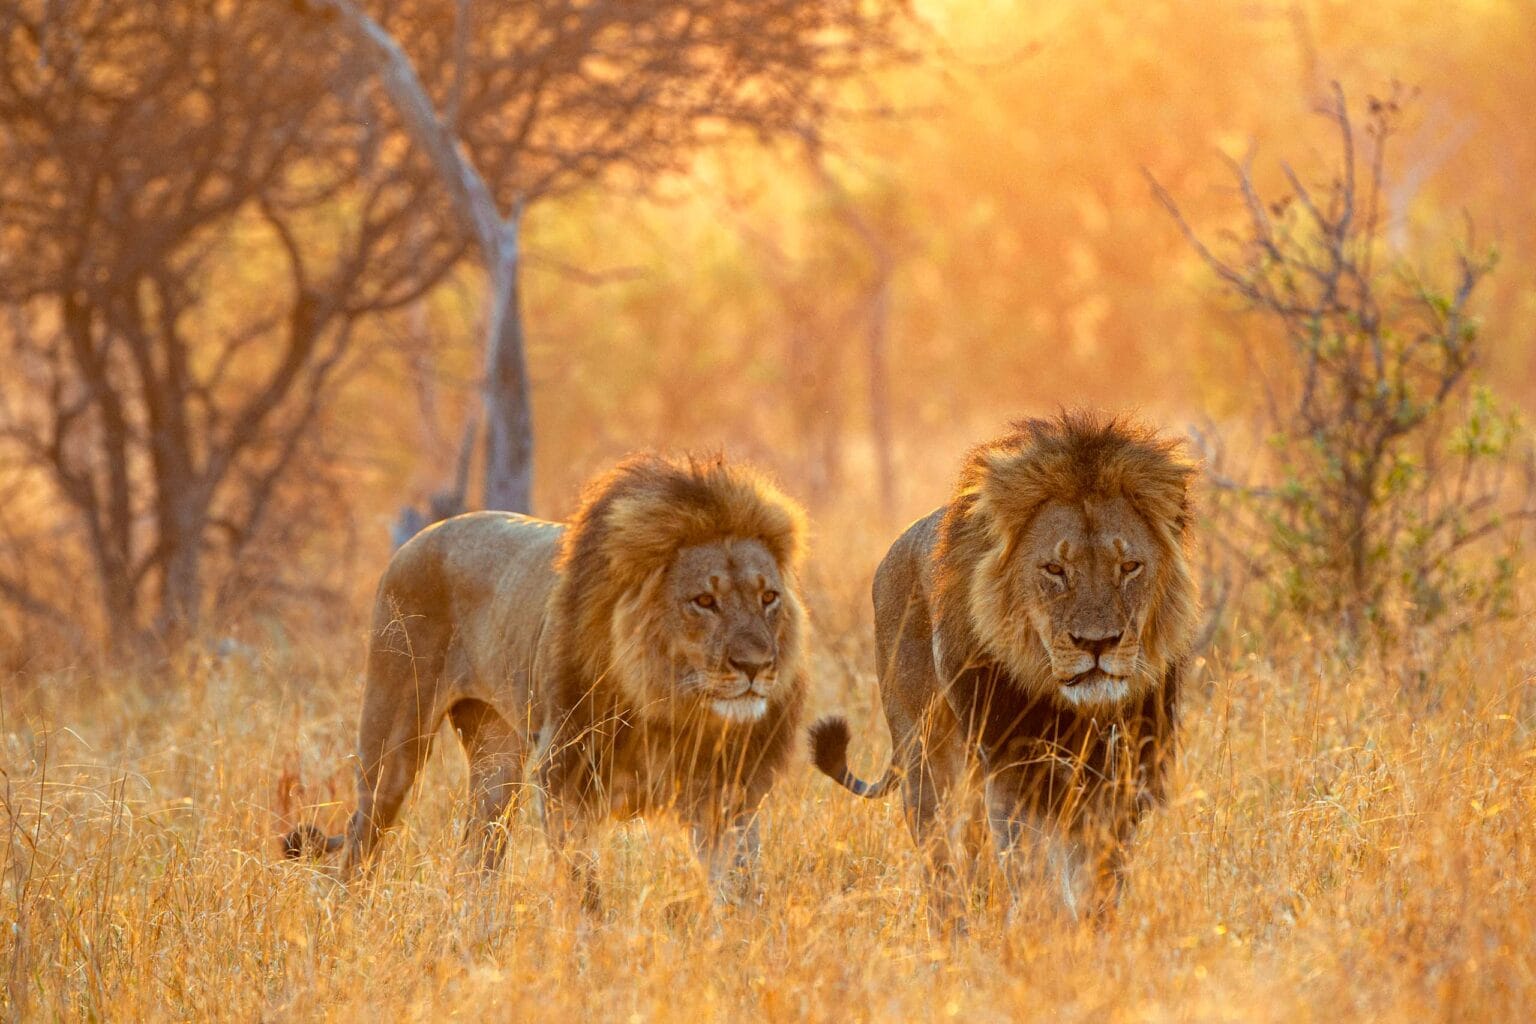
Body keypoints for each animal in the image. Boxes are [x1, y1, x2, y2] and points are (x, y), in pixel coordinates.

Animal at [284, 453, 809, 909]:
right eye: (704, 601)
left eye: (768, 597)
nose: (757, 666)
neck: (669, 705)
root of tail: (420, 536)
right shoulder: (565, 782)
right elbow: (586, 894)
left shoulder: (726, 795)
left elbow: (740, 889)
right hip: (392, 747)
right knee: (359, 849)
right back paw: (345, 921)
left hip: (497, 761)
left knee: (475, 862)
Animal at [811, 412, 1197, 928]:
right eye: (1054, 569)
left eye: (1130, 566)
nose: (1097, 643)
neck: (1077, 712)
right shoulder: (1014, 768)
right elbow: (1035, 874)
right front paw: (1045, 929)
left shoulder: (1122, 778)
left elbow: (1101, 876)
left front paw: (1094, 931)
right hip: (925, 753)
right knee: (939, 854)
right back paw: (952, 930)